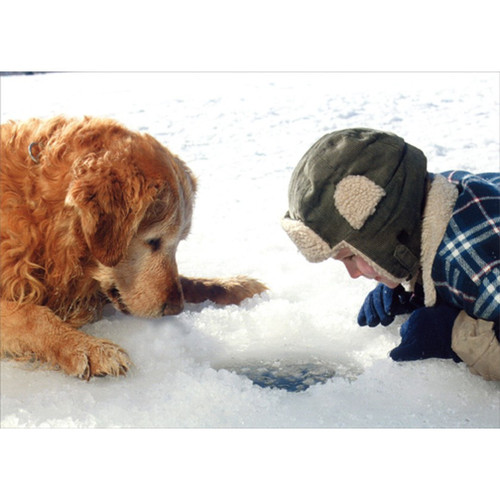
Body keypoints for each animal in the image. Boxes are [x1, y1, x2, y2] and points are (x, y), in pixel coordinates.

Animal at [0, 116, 268, 378]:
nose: (175, 308)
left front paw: (233, 285)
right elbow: (32, 314)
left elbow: (188, 281)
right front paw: (88, 347)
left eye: (179, 241)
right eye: (153, 241)